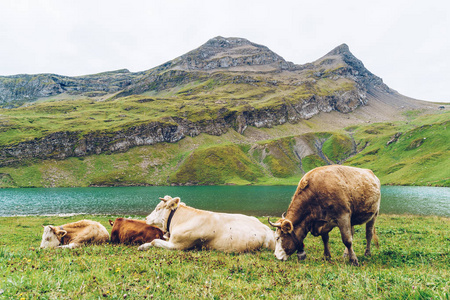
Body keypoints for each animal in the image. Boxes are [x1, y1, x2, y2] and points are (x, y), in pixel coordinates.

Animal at [139, 195, 276, 253]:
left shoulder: (178, 245)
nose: (146, 218)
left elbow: (155, 241)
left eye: (158, 208)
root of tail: (268, 229)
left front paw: (143, 246)